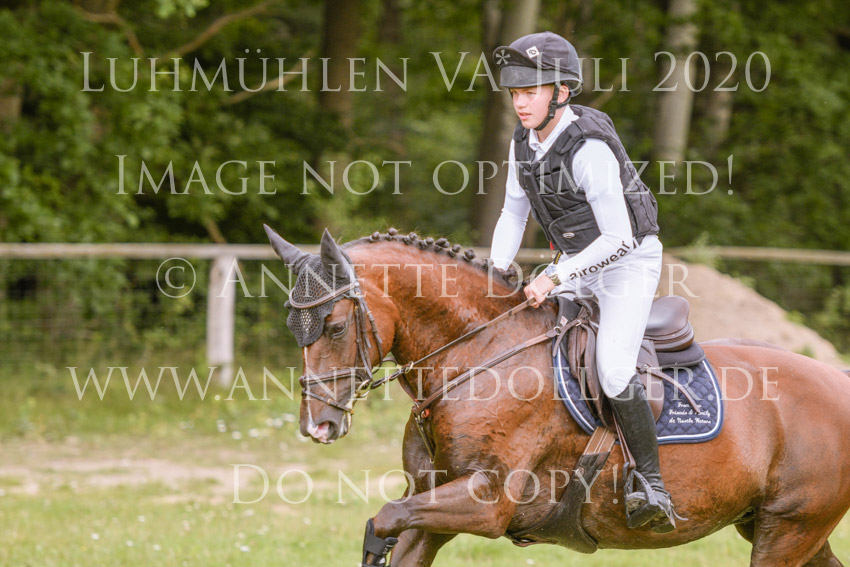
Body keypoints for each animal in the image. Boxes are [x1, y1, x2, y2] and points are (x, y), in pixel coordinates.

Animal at [265, 225, 850, 567]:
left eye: (335, 326)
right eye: (294, 327)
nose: (317, 426)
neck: (480, 352)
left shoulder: (485, 502)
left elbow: (382, 519)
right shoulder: (430, 508)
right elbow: (397, 524)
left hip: (788, 529)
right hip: (780, 527)